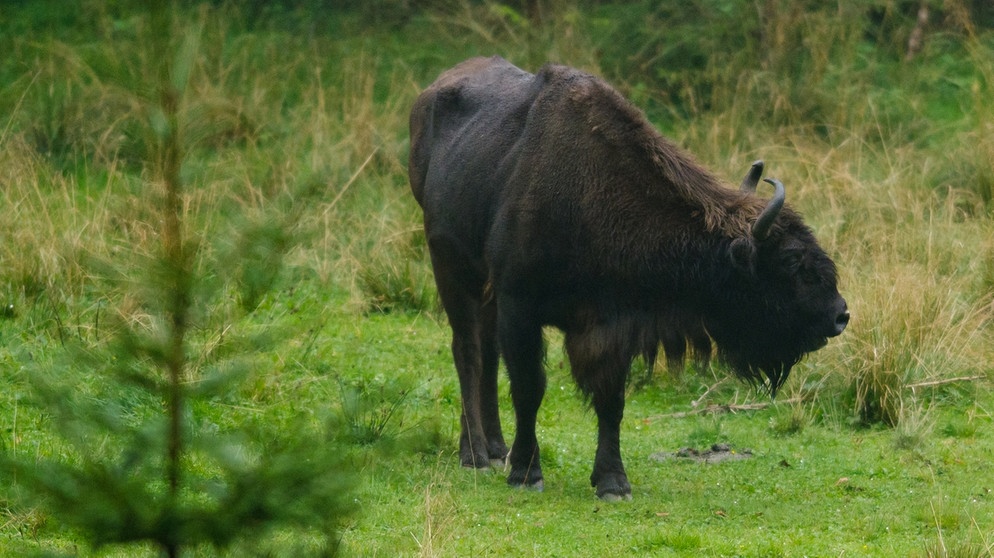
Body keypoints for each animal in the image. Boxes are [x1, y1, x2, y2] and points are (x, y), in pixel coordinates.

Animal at [406, 58, 848, 504]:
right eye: (790, 260)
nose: (840, 315)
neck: (591, 196)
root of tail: (429, 95)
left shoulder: (612, 324)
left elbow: (611, 400)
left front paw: (612, 481)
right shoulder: (520, 307)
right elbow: (529, 388)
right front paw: (527, 473)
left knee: (487, 353)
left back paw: (495, 449)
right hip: (449, 267)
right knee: (468, 352)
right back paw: (475, 454)